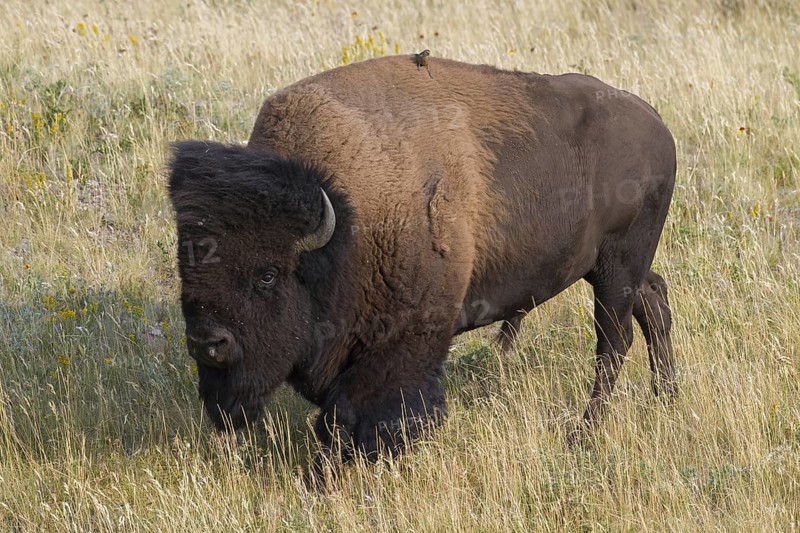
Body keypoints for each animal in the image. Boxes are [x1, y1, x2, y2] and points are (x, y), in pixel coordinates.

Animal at [168, 54, 676, 476]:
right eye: (186, 267)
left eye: (267, 275)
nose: (207, 343)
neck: (347, 218)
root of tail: (656, 124)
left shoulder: (401, 341)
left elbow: (357, 413)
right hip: (614, 269)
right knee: (653, 301)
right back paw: (664, 396)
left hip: (616, 267)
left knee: (613, 343)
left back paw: (581, 435)